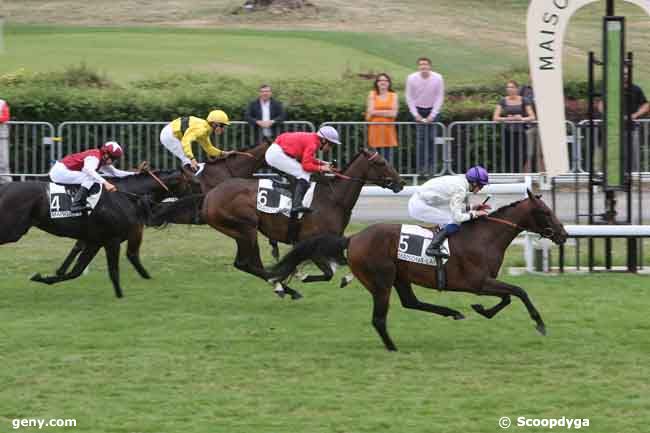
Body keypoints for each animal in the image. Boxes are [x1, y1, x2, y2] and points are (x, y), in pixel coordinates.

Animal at [268, 190, 568, 352]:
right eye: (545, 212)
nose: (563, 235)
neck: (485, 237)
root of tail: (352, 239)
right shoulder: (478, 281)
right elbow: (519, 291)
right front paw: (539, 323)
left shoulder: (484, 282)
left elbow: (507, 297)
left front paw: (481, 309)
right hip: (381, 281)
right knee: (379, 318)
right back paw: (392, 346)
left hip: (400, 277)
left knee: (411, 302)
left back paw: (452, 312)